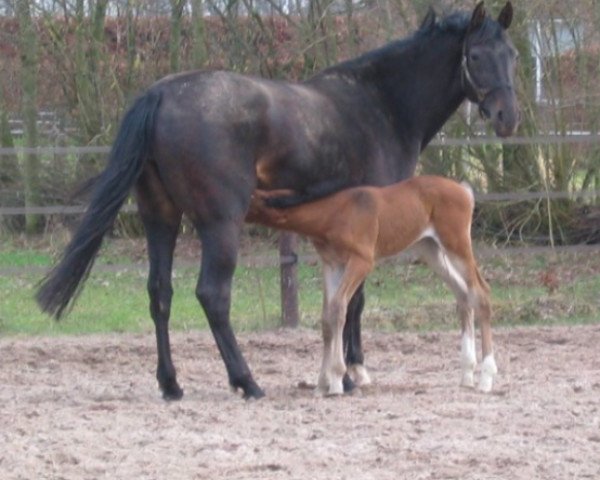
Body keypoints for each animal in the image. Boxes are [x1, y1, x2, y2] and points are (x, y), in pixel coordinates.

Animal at [246, 175, 494, 394]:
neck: (334, 212)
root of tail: (464, 190)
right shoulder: (332, 265)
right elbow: (327, 316)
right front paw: (322, 384)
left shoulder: (361, 261)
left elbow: (339, 308)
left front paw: (336, 381)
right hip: (431, 250)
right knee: (463, 294)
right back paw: (467, 375)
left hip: (457, 245)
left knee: (481, 293)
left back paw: (486, 378)